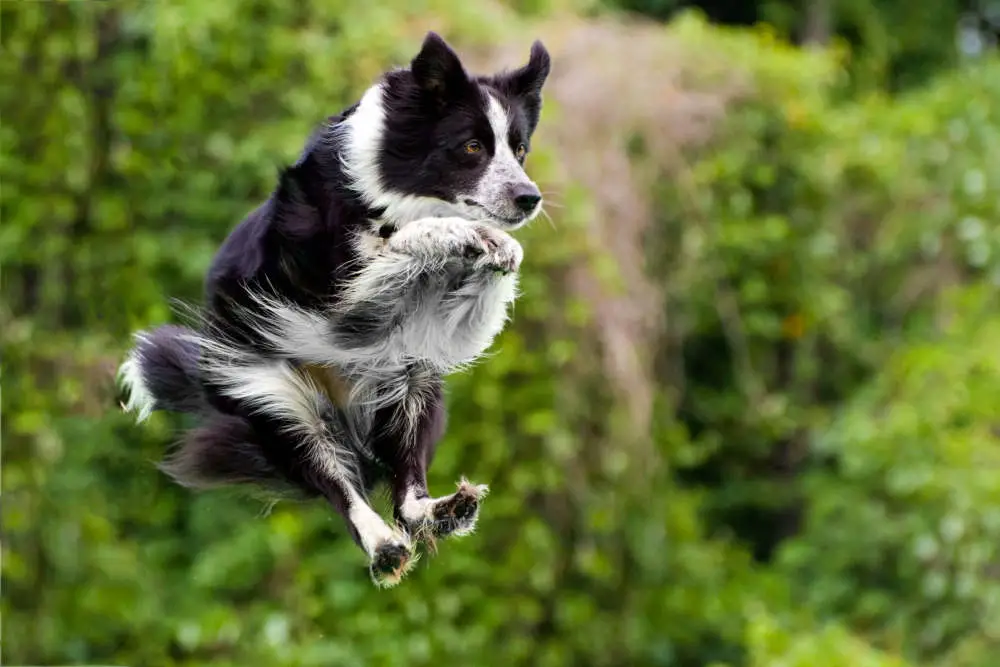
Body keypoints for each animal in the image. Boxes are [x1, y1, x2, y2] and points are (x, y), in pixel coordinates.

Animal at [120, 32, 556, 584]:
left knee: (405, 489)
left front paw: (499, 249)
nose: (529, 198)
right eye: (472, 147)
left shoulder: (430, 335)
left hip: (411, 385)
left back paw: (442, 510)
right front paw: (462, 233)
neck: (393, 185)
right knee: (338, 485)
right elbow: (404, 238)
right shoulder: (332, 283)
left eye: (519, 149)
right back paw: (383, 547)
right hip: (278, 400)